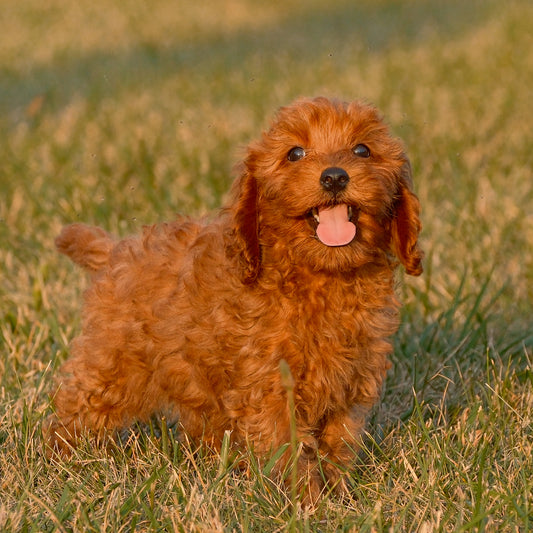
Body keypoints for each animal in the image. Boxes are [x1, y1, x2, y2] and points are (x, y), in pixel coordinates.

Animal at [45, 95, 422, 498]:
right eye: (295, 153)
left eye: (362, 150)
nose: (334, 176)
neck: (323, 275)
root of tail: (113, 251)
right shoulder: (270, 385)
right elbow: (290, 447)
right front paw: (305, 501)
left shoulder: (351, 380)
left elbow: (338, 440)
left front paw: (339, 494)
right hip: (110, 367)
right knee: (75, 412)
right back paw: (56, 458)